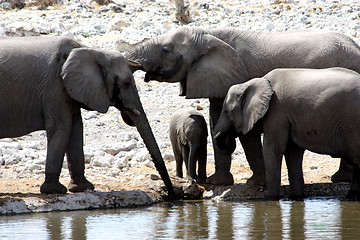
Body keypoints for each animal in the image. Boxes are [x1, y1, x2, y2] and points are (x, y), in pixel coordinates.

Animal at [0, 35, 174, 196]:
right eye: (125, 83)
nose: (172, 195)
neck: (89, 50)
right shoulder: (54, 87)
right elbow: (62, 127)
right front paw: (55, 191)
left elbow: (76, 128)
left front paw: (83, 188)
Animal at [214, 67, 360, 199]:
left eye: (226, 111)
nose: (227, 139)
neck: (255, 82)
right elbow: (293, 152)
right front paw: (297, 197)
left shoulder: (276, 111)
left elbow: (273, 149)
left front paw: (269, 199)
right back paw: (351, 197)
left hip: (352, 124)